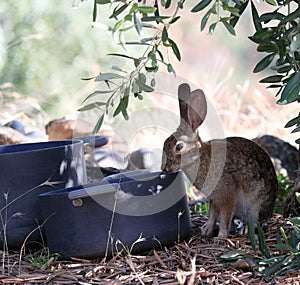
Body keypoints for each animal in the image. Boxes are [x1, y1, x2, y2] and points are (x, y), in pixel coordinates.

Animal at [161, 83, 278, 236]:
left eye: (179, 146)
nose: (164, 168)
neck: (200, 156)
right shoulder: (213, 198)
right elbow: (212, 214)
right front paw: (207, 230)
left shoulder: (227, 195)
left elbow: (224, 216)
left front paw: (221, 236)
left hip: (256, 206)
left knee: (254, 220)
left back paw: (245, 229)